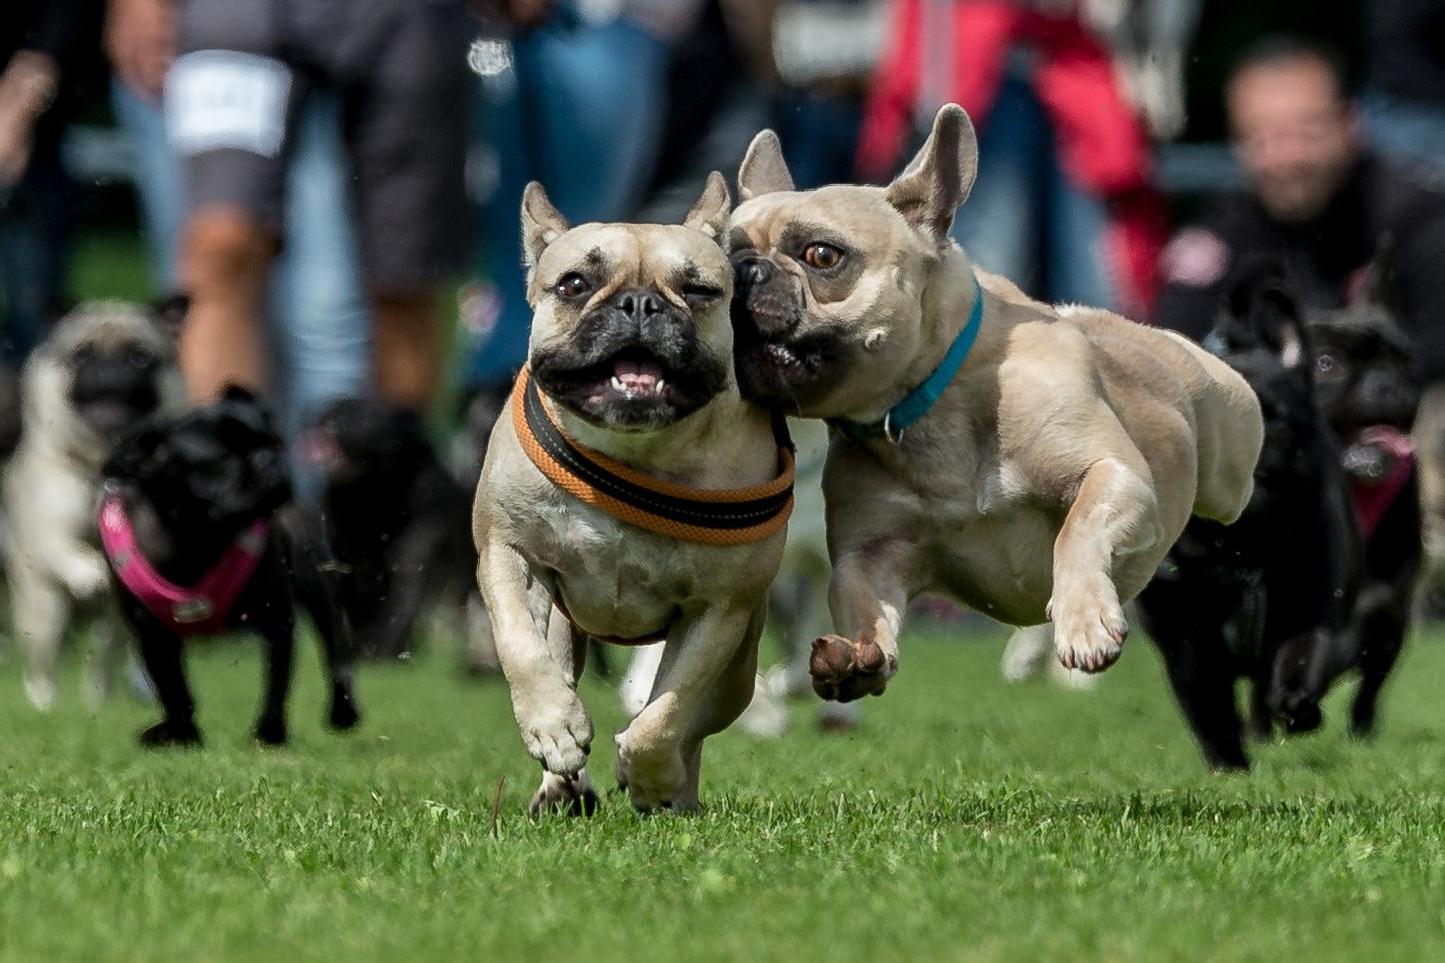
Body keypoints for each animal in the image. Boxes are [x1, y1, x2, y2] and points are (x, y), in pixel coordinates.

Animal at [473, 174, 791, 809]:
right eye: (574, 284)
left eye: (699, 290)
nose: (640, 303)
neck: (634, 450)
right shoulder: (505, 553)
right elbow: (520, 646)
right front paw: (553, 726)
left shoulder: (720, 608)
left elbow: (670, 709)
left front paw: (647, 772)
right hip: (564, 622)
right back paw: (562, 786)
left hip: (739, 667)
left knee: (694, 722)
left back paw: (673, 790)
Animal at [728, 107, 1260, 696]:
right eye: (724, 250)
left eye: (822, 255)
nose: (745, 269)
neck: (933, 403)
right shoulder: (868, 555)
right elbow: (861, 601)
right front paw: (858, 655)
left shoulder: (1115, 474)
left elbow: (1078, 531)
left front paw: (1084, 622)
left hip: (1229, 467)